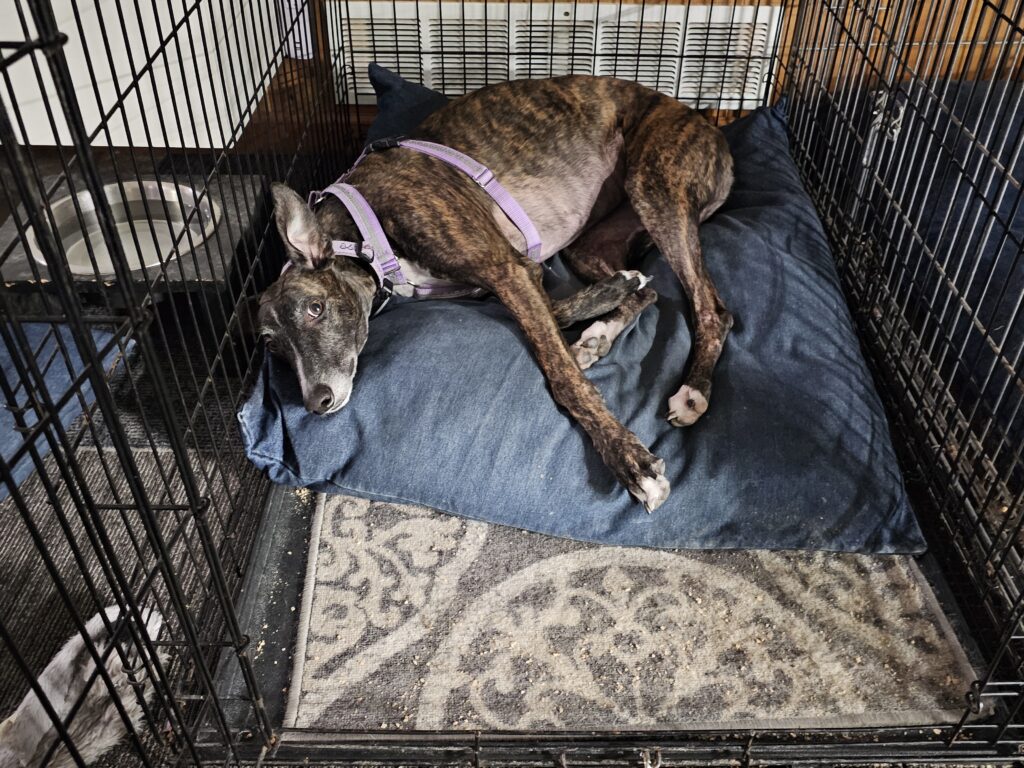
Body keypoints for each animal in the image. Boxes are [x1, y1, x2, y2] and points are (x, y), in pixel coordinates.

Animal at [259, 75, 733, 512]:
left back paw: (693, 391)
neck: (362, 229)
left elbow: (563, 377)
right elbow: (563, 312)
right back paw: (600, 331)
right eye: (273, 346)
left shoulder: (506, 270)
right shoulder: (514, 276)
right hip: (592, 241)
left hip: (655, 186)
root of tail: (701, 118)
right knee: (650, 296)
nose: (316, 403)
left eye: (315, 308)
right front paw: (613, 292)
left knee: (713, 309)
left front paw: (632, 462)